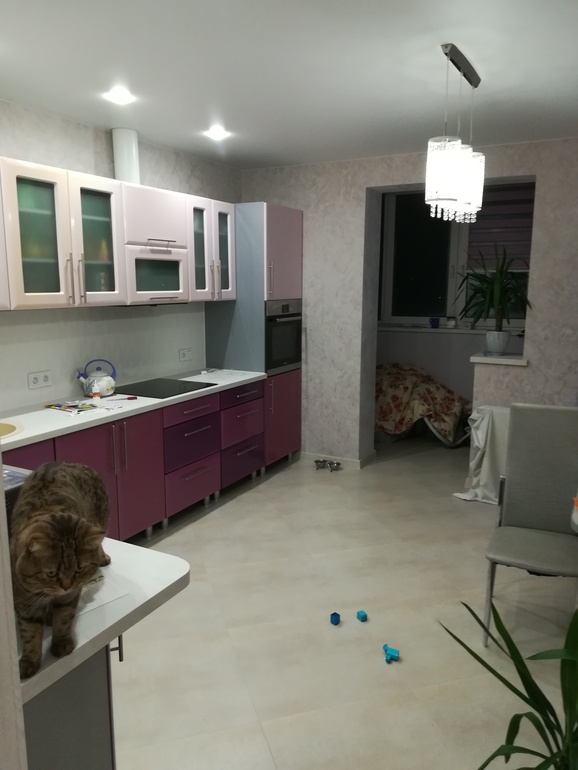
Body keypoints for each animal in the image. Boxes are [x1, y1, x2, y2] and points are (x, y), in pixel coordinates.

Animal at [9, 461, 111, 680]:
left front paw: (62, 643)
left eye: (79, 568)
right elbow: (30, 633)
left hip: (99, 521)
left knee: (99, 542)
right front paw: (29, 661)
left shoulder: (69, 597)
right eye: (51, 573)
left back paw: (102, 557)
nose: (66, 585)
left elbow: (63, 619)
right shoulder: (24, 601)